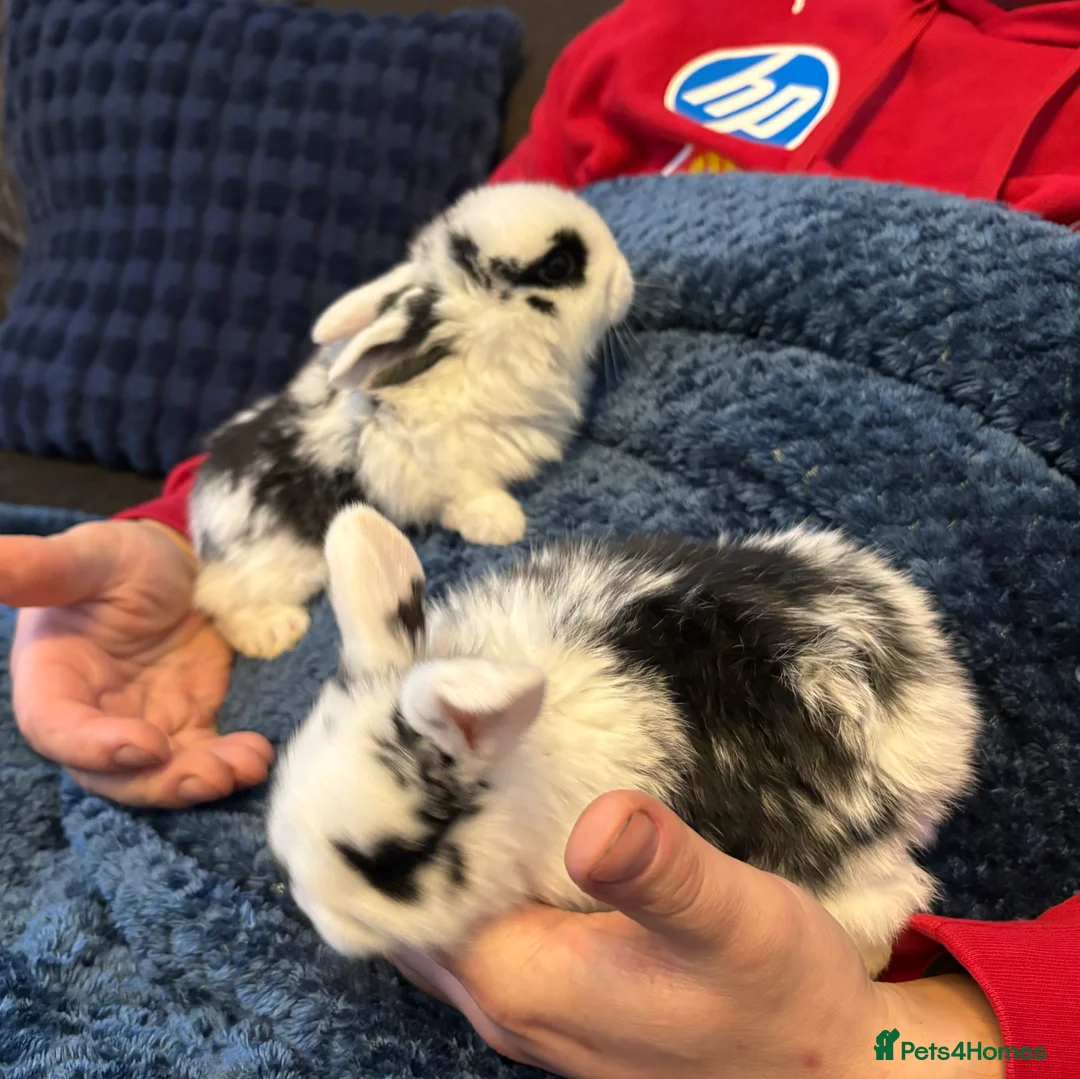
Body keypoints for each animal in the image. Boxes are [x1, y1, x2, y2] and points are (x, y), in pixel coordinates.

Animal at [189, 182, 635, 660]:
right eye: (558, 265)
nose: (626, 276)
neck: (482, 358)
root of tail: (200, 521)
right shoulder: (423, 466)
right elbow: (463, 498)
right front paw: (504, 525)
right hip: (275, 566)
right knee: (216, 601)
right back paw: (275, 631)